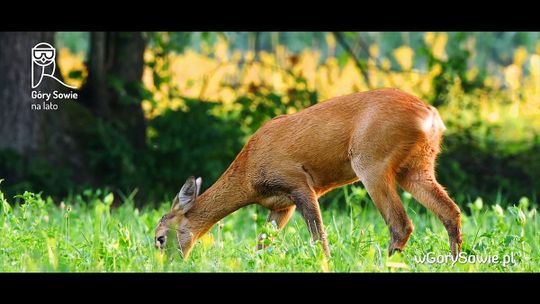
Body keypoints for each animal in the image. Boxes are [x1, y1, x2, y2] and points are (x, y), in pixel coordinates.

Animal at [154, 88, 462, 258]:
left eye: (159, 238)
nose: (168, 264)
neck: (250, 177)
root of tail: (432, 116)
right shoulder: (281, 205)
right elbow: (263, 243)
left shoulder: (298, 183)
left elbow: (318, 237)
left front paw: (325, 263)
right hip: (417, 166)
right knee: (450, 212)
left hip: (372, 161)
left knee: (401, 225)